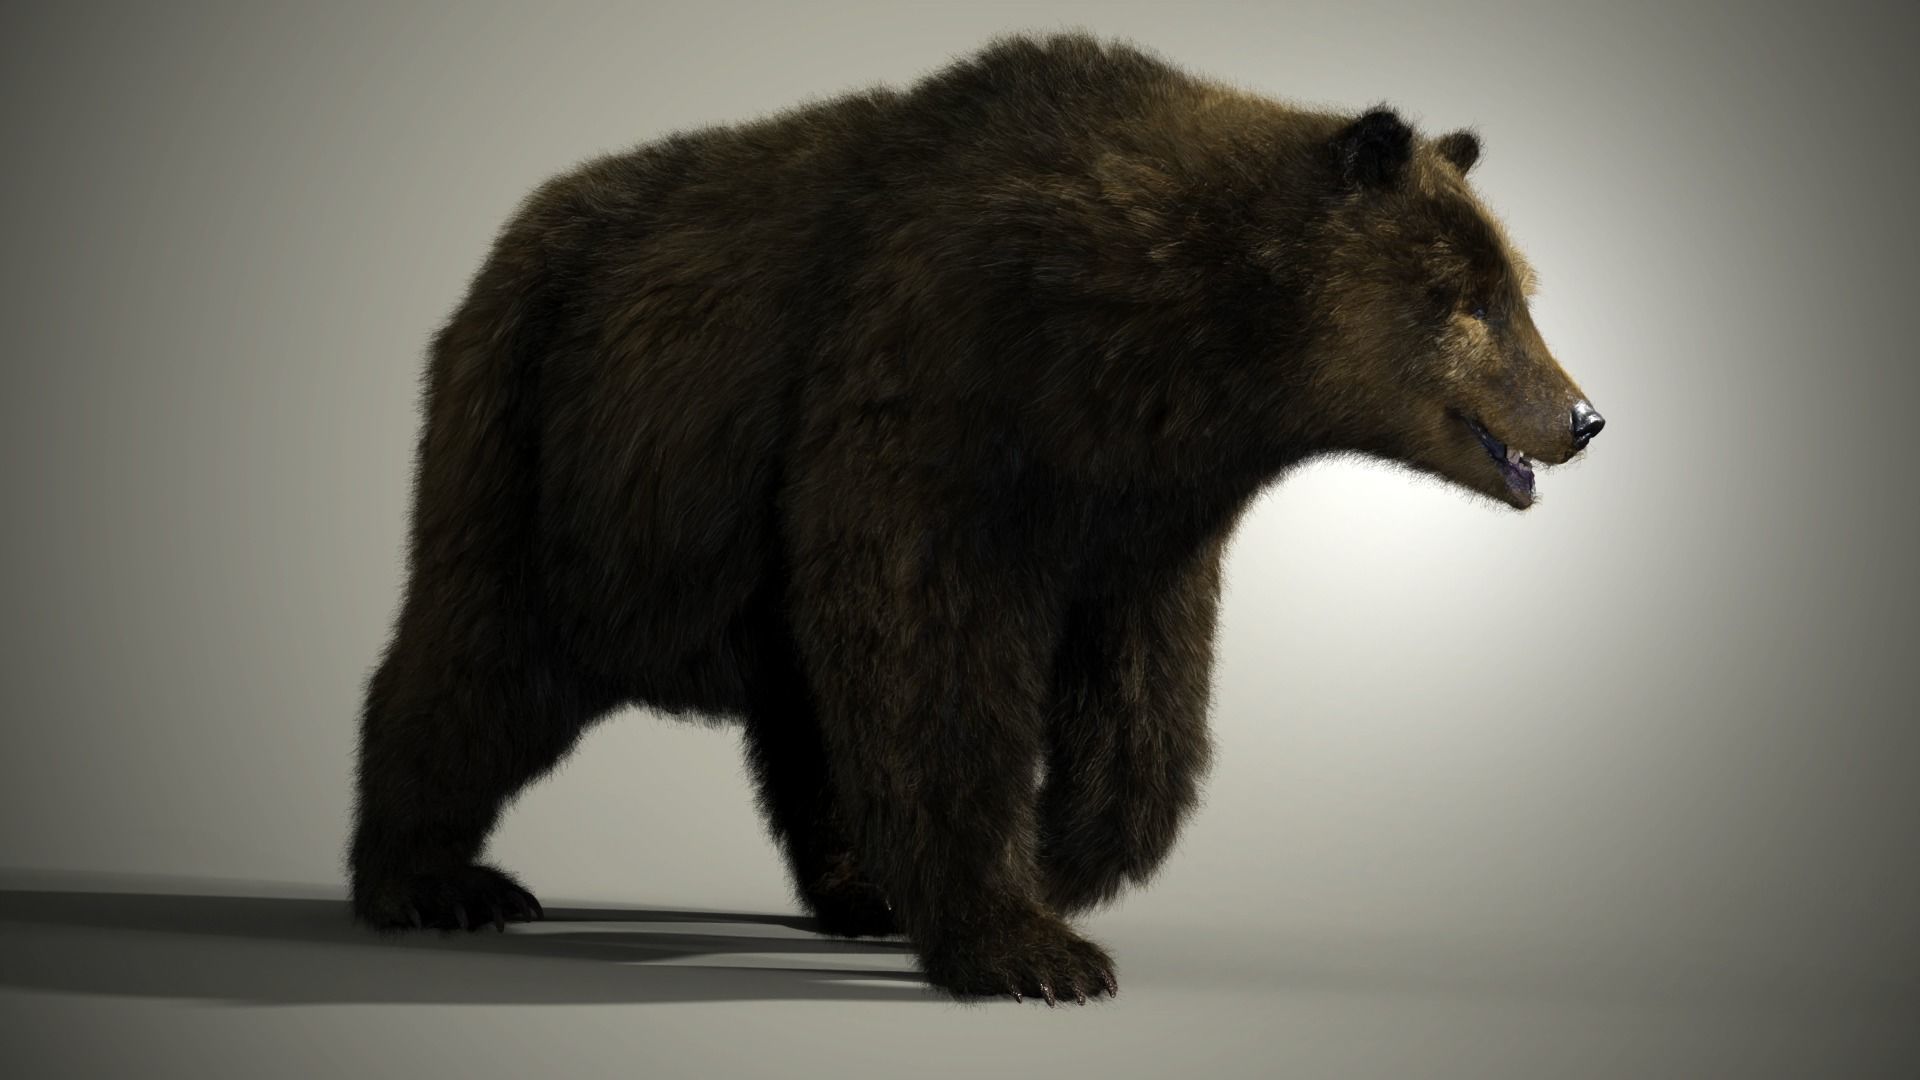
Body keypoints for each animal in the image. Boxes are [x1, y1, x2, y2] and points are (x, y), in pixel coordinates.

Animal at [346, 31, 1605, 1005]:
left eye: (1519, 286)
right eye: (1465, 299)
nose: (1583, 417)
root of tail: (508, 242)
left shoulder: (1140, 502)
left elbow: (1143, 698)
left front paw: (1066, 855)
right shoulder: (939, 388)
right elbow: (931, 653)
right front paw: (1033, 948)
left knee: (800, 704)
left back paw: (858, 887)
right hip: (545, 448)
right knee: (481, 658)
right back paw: (432, 882)